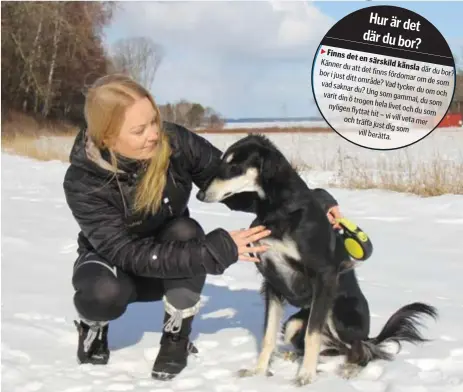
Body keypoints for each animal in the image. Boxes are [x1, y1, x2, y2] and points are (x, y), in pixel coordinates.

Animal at [198, 135, 440, 386]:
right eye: (222, 162)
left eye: (235, 166)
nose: (200, 195)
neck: (279, 210)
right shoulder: (273, 282)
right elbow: (268, 335)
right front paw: (259, 372)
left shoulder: (324, 276)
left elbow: (312, 334)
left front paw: (306, 375)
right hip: (294, 323)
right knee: (333, 347)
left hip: (339, 313)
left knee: (361, 349)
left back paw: (350, 369)